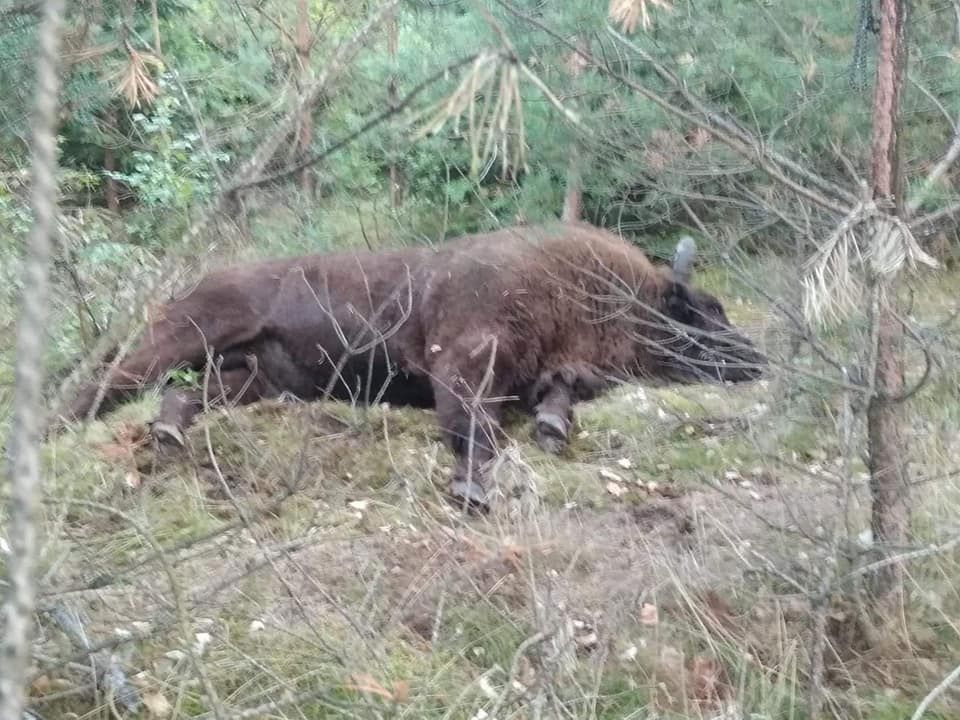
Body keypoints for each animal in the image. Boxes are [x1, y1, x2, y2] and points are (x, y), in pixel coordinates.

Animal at [58, 222, 764, 510]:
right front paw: (473, 489)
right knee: (102, 385)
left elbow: (554, 395)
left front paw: (552, 427)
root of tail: (195, 282)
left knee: (191, 395)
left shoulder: (546, 372)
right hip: (181, 337)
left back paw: (169, 432)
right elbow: (474, 429)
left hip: (255, 376)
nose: (755, 356)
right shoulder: (462, 365)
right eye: (700, 311)